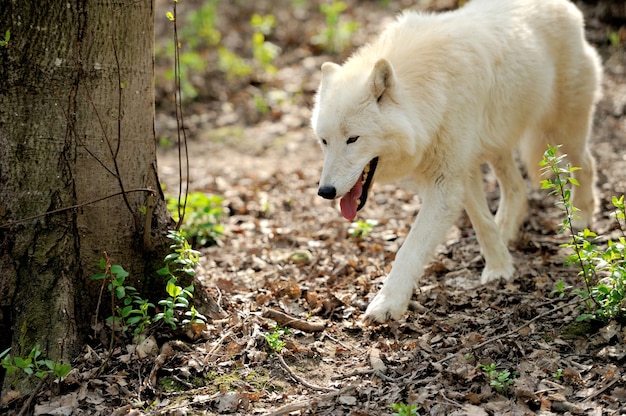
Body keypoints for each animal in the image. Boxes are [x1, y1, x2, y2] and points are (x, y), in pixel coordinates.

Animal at [310, 0, 604, 322]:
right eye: (324, 141)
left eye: (353, 139)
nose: (325, 192)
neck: (429, 96)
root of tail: (567, 7)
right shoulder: (457, 173)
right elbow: (481, 222)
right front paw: (500, 266)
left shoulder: (448, 179)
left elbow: (410, 249)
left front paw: (388, 303)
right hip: (496, 146)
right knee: (517, 189)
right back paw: (507, 231)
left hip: (563, 132)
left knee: (587, 165)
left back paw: (582, 216)